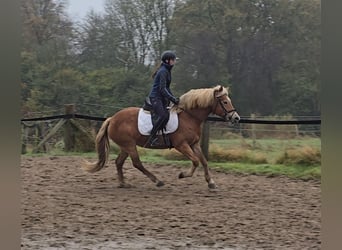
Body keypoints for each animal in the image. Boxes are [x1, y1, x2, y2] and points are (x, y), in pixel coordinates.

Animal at [82, 85, 240, 188]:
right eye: (225, 102)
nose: (236, 118)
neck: (189, 117)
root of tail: (112, 118)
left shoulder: (194, 144)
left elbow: (204, 161)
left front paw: (211, 182)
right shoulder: (182, 145)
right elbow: (195, 161)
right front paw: (182, 175)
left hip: (125, 146)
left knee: (119, 162)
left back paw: (123, 183)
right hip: (129, 145)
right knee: (137, 163)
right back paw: (157, 181)